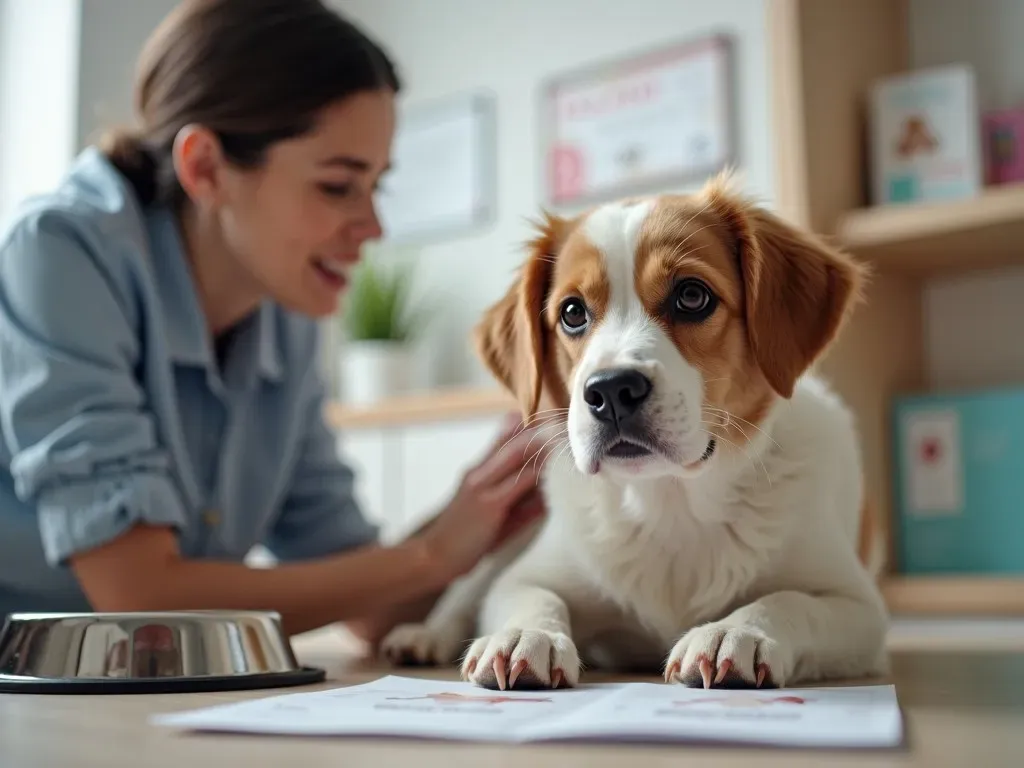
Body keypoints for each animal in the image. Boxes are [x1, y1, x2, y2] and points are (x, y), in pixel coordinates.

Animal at [380, 174, 892, 692]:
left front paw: (735, 631)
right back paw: (425, 636)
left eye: (692, 295)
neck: (669, 502)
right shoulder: (528, 575)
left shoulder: (859, 607)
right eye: (572, 312)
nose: (610, 391)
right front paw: (526, 635)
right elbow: (533, 596)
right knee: (466, 590)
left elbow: (788, 601)